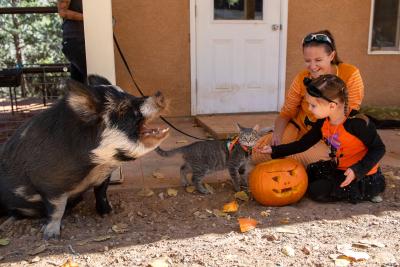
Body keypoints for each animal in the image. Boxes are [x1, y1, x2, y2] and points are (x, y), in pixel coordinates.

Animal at [0, 75, 170, 241]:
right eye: (122, 108)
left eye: (128, 93)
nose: (160, 94)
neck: (97, 164)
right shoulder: (49, 183)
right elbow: (57, 208)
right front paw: (51, 236)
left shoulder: (104, 176)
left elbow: (101, 193)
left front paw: (108, 212)